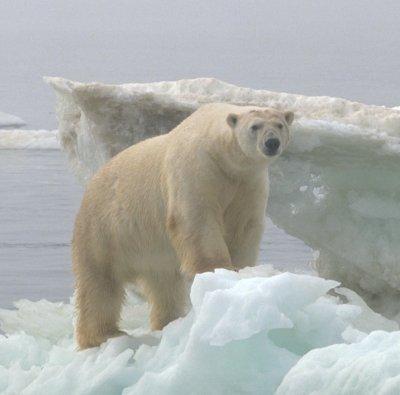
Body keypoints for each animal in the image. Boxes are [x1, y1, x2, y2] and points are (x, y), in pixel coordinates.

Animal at [72, 103, 294, 350]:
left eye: (280, 125)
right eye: (255, 126)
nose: (272, 142)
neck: (223, 156)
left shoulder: (248, 182)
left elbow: (244, 226)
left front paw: (243, 269)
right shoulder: (198, 168)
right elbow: (197, 219)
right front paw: (217, 269)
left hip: (153, 252)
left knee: (164, 285)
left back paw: (168, 321)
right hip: (103, 232)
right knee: (100, 285)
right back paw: (104, 334)